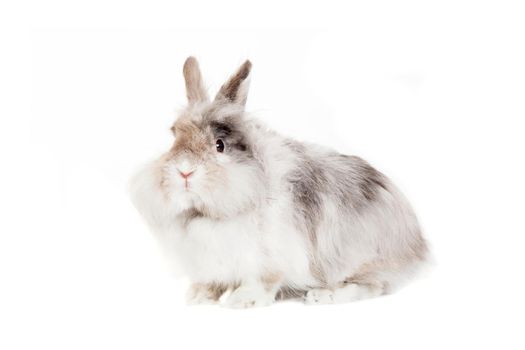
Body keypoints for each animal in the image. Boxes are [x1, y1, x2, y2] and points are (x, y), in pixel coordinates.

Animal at [129, 57, 428, 308]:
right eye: (175, 138)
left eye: (219, 145)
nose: (184, 171)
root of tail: (418, 245)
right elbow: (213, 280)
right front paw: (198, 297)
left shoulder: (270, 255)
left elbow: (263, 281)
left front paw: (243, 300)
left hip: (363, 259)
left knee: (373, 285)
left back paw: (323, 296)